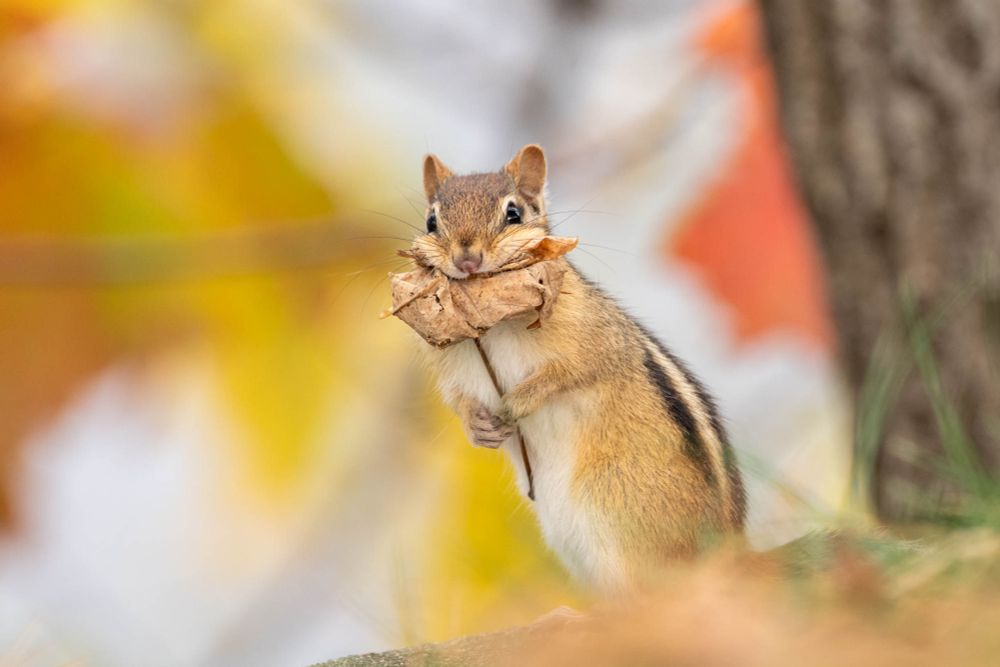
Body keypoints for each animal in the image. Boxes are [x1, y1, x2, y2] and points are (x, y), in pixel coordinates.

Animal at [412, 144, 746, 594]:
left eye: (513, 213)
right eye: (432, 221)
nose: (467, 258)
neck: (494, 318)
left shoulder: (592, 340)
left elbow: (568, 374)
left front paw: (518, 401)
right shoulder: (451, 370)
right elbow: (459, 400)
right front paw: (479, 427)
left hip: (616, 505)